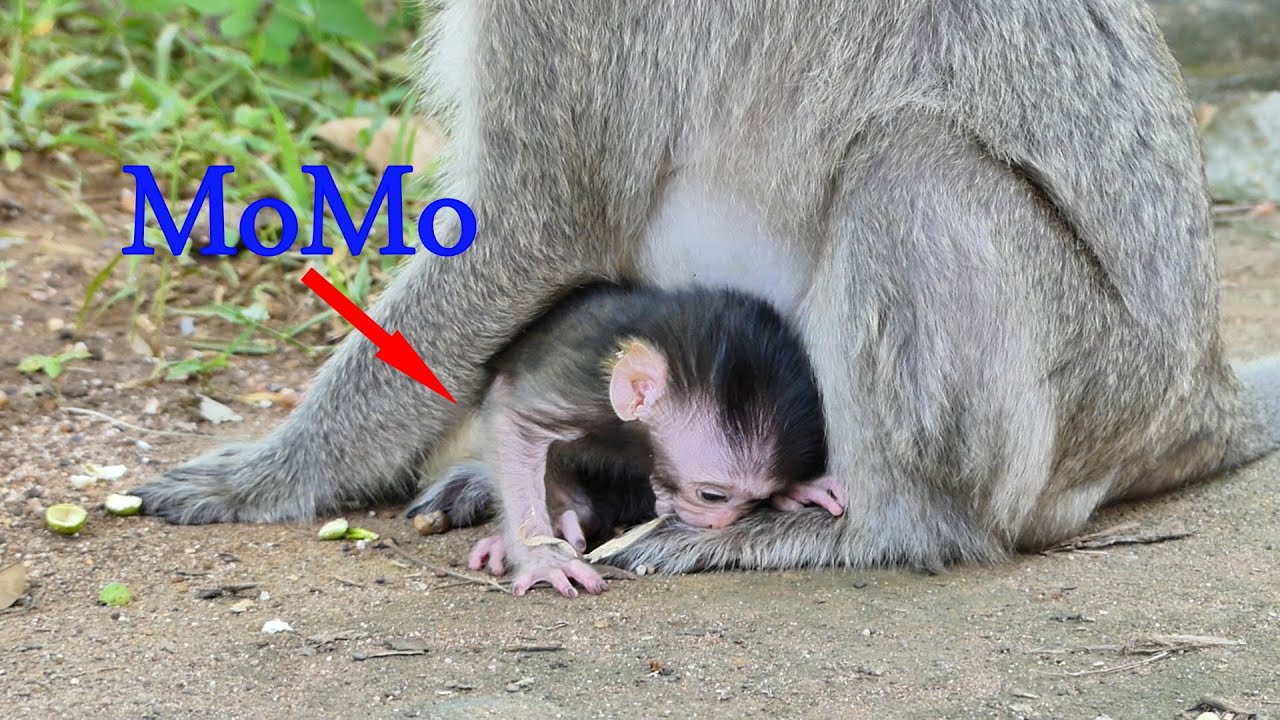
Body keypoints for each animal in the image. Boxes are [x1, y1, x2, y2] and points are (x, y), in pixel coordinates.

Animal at [406, 282, 845, 596]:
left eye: (753, 501)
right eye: (712, 497)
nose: (719, 523)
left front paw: (799, 489)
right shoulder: (581, 389)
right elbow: (513, 422)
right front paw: (541, 559)